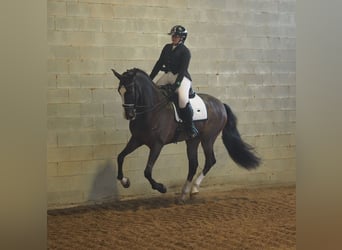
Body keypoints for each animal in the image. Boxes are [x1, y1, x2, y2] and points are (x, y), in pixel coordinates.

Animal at [111, 68, 260, 201]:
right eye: (119, 91)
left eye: (130, 90)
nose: (129, 115)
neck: (152, 110)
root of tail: (220, 104)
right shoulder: (136, 139)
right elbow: (120, 157)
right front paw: (125, 181)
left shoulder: (157, 145)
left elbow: (147, 171)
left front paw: (161, 188)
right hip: (193, 140)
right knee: (193, 165)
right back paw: (184, 193)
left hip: (208, 139)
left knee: (210, 161)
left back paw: (194, 189)